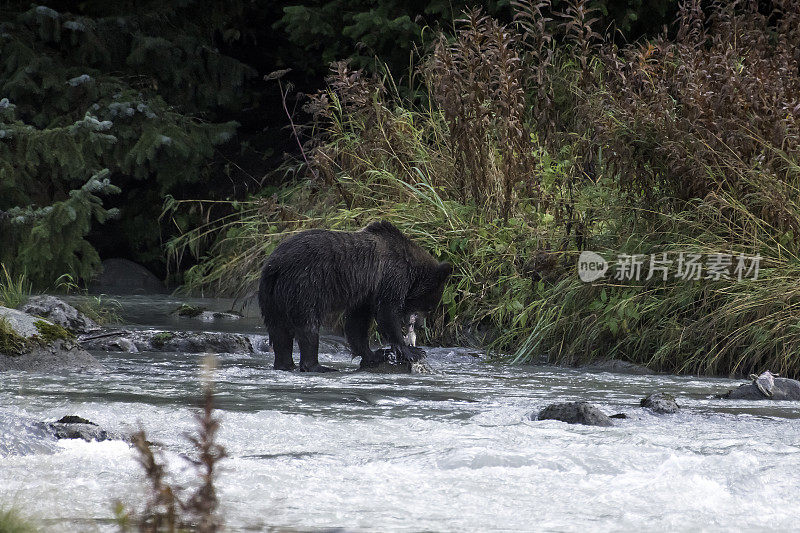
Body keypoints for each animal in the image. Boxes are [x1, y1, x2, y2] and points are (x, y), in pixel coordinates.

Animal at [260, 219, 454, 370]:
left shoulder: (366, 293)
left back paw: (285, 364)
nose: (421, 326)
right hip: (305, 285)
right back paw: (317, 366)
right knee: (308, 325)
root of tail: (275, 264)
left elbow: (357, 323)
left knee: (279, 329)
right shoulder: (391, 277)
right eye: (429, 308)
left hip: (273, 295)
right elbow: (387, 312)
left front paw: (375, 355)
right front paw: (412, 351)